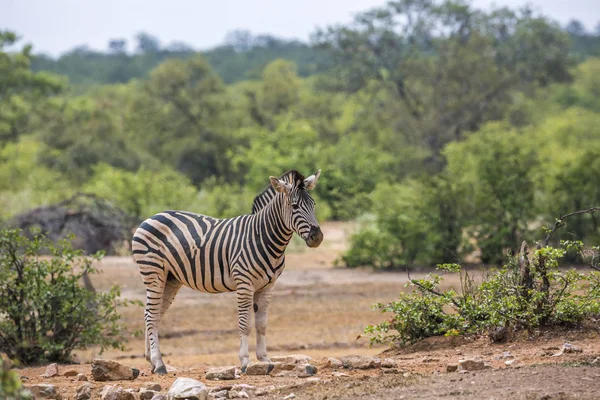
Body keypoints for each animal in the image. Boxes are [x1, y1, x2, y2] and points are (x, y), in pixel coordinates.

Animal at [132, 168, 324, 372]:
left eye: (313, 204)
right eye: (294, 206)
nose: (318, 237)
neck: (262, 236)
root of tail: (151, 217)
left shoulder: (267, 286)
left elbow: (262, 324)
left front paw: (265, 359)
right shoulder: (244, 284)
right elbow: (245, 324)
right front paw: (245, 361)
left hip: (170, 279)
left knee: (151, 314)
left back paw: (151, 360)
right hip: (153, 273)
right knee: (151, 316)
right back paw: (159, 363)